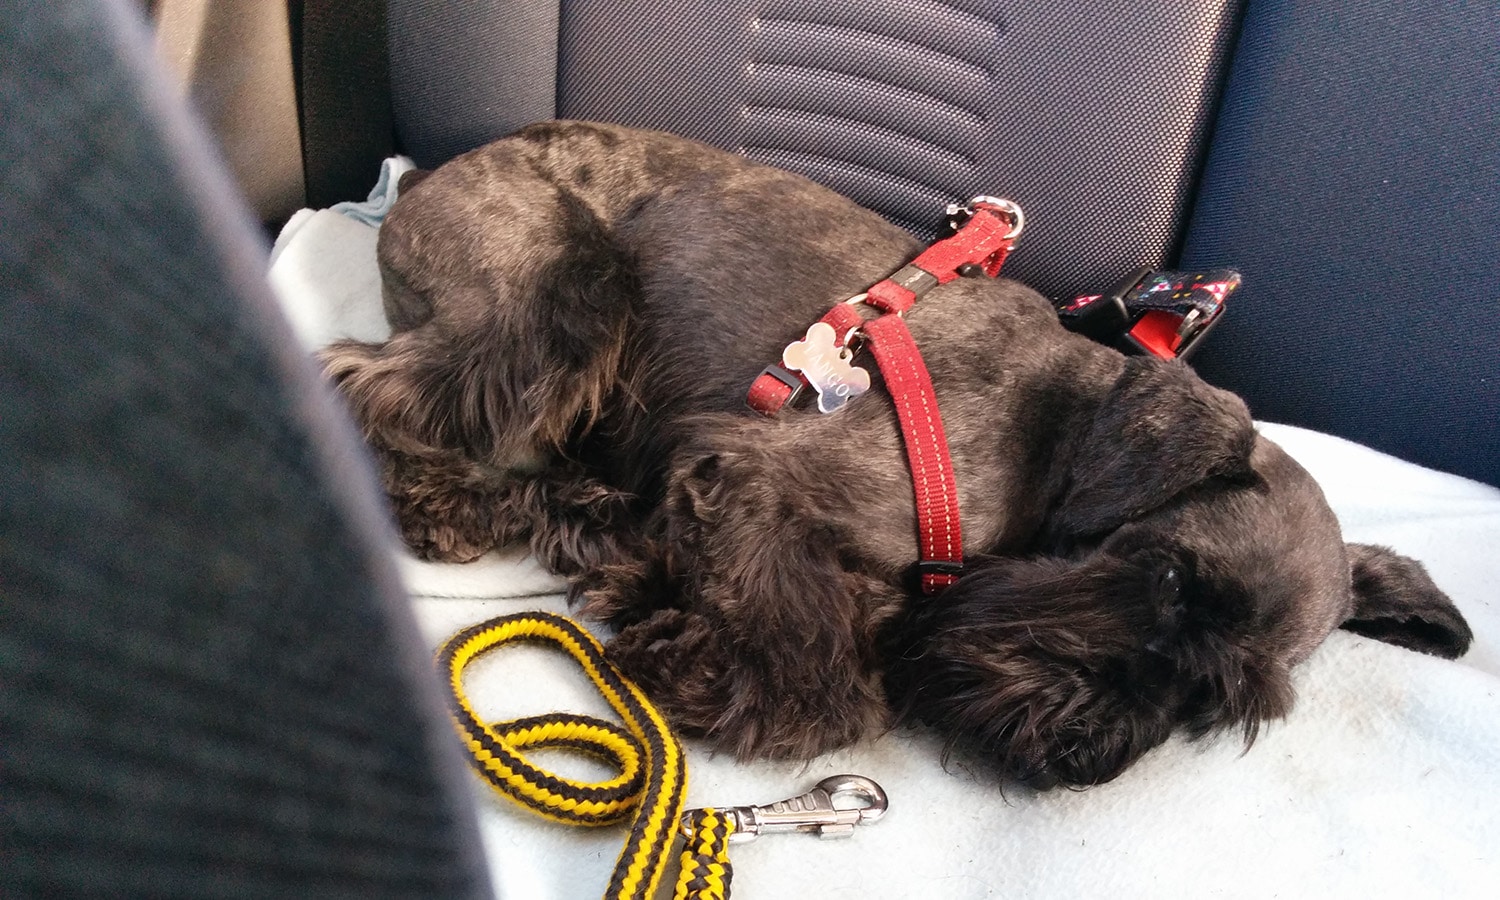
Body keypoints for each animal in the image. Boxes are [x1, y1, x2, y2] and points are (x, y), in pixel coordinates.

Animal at [322, 121, 1470, 786]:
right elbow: (817, 649)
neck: (1064, 428)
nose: (1077, 755)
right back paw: (443, 500)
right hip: (565, 295)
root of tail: (427, 177)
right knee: (373, 382)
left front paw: (657, 591)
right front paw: (729, 677)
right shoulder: (754, 474)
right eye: (1170, 577)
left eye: (1222, 700)